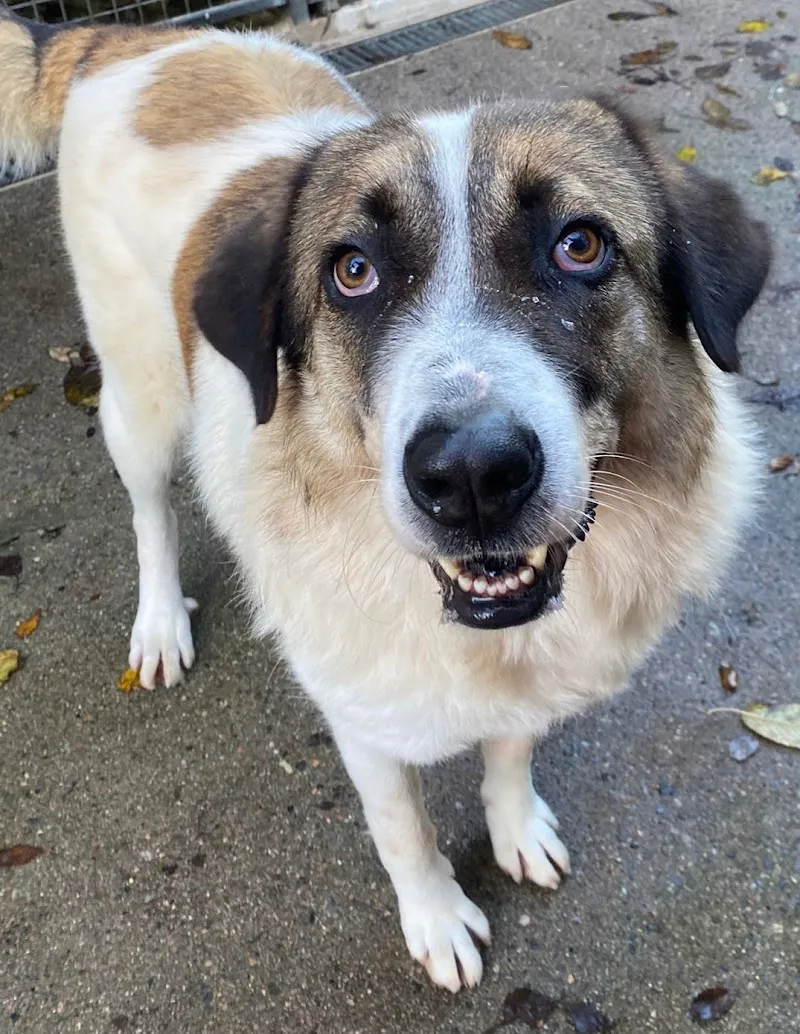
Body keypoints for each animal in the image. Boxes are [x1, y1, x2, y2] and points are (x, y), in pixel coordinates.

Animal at [0, 10, 770, 992]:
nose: (472, 477)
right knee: (150, 512)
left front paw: (516, 827)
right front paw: (436, 918)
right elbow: (403, 828)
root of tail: (130, 40)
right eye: (353, 271)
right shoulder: (362, 716)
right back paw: (161, 622)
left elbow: (508, 753)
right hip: (138, 399)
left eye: (581, 244)